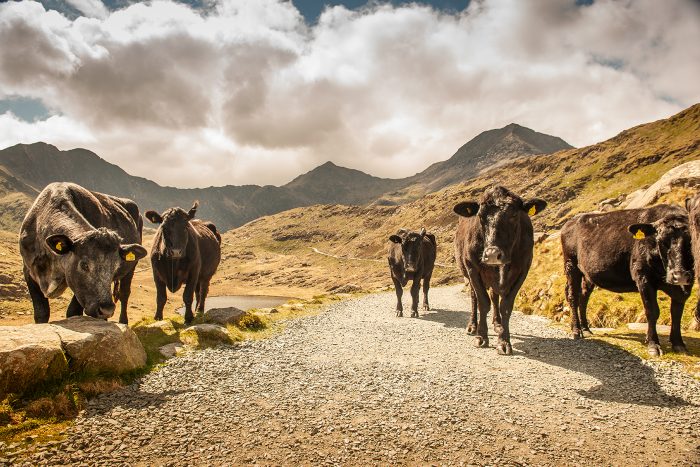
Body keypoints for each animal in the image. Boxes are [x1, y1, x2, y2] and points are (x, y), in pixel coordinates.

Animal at [19, 183, 148, 326]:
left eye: (115, 267)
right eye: (84, 265)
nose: (106, 309)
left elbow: (73, 312)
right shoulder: (28, 270)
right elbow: (41, 313)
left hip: (131, 269)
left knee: (124, 294)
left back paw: (123, 322)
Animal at [454, 186, 548, 354]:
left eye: (514, 215)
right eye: (480, 216)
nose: (492, 254)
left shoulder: (522, 270)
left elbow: (506, 306)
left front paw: (504, 341)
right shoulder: (473, 268)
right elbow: (483, 303)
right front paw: (481, 337)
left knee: (494, 296)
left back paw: (497, 324)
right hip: (468, 272)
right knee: (474, 297)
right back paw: (472, 326)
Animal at [560, 206, 692, 358]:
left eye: (691, 241)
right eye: (661, 241)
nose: (678, 276)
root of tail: (570, 222)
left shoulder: (685, 286)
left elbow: (676, 312)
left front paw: (679, 344)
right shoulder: (642, 276)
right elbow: (652, 311)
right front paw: (653, 345)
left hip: (587, 274)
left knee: (583, 297)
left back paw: (585, 328)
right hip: (571, 265)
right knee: (573, 297)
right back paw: (576, 330)